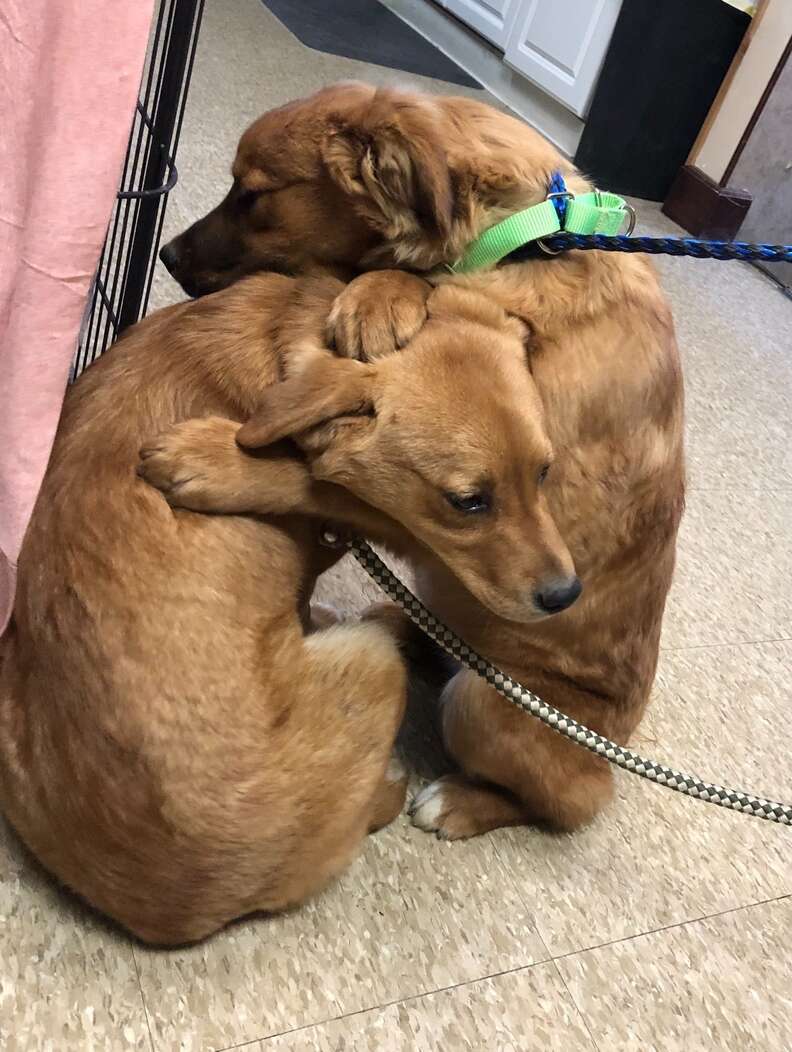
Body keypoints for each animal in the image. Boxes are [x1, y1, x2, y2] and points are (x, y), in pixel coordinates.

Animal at [0, 273, 563, 946]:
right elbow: (325, 491)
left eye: (546, 471)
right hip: (374, 663)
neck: (277, 342)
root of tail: (183, 914)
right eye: (467, 501)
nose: (567, 594)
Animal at [161, 82, 685, 837]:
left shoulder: (486, 508)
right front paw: (385, 293)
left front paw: (218, 461)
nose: (167, 254)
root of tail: (612, 746)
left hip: (484, 706)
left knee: (569, 802)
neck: (529, 239)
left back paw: (462, 802)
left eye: (253, 194)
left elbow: (314, 479)